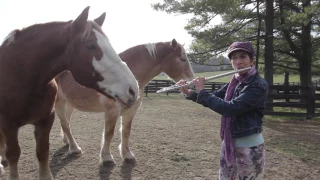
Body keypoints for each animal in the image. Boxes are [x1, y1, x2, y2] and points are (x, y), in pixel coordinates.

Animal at [0, 6, 139, 179]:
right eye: (90, 45)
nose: (133, 89)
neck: (20, 76)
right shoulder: (8, 125)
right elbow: (13, 155)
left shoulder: (45, 120)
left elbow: (42, 152)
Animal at [55, 39, 195, 165]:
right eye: (182, 59)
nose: (192, 83)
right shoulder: (112, 111)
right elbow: (109, 133)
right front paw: (107, 158)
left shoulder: (131, 111)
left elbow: (126, 131)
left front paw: (127, 155)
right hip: (59, 103)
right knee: (65, 124)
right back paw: (75, 149)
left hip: (69, 103)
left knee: (67, 122)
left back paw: (67, 142)